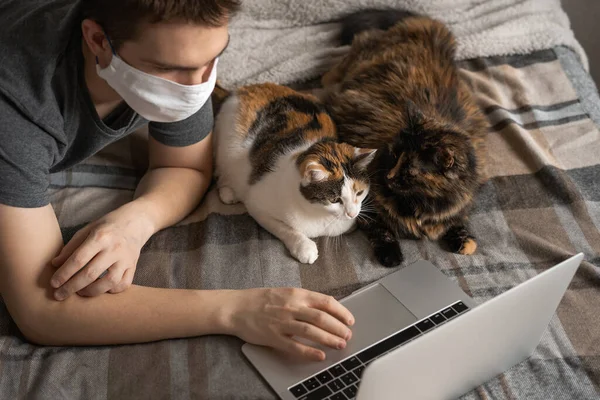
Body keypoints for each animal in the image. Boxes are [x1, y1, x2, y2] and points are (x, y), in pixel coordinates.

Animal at [214, 82, 376, 264]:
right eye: (335, 200)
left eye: (359, 193)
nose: (352, 213)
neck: (319, 215)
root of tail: (241, 89)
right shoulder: (256, 205)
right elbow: (284, 228)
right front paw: (303, 247)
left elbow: (347, 226)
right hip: (227, 147)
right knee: (220, 172)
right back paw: (228, 192)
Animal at [322, 9, 486, 268]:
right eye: (394, 154)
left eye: (409, 170)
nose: (389, 176)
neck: (421, 205)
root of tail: (428, 27)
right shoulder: (366, 202)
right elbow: (380, 228)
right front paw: (390, 254)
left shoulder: (459, 204)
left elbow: (457, 221)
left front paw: (464, 241)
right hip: (359, 59)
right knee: (341, 62)